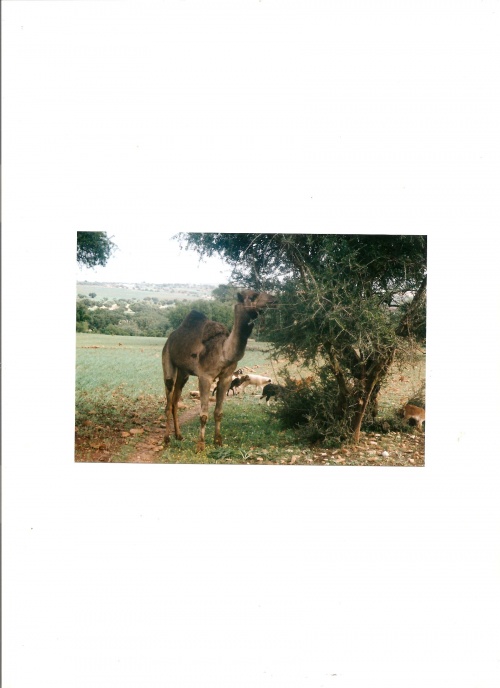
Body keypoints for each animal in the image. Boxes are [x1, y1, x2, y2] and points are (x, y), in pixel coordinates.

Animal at [161, 288, 276, 452]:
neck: (224, 353)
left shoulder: (226, 377)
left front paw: (218, 442)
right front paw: (200, 446)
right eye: (253, 296)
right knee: (169, 398)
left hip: (184, 372)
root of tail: (171, 337)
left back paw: (179, 436)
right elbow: (203, 415)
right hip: (167, 358)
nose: (274, 299)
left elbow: (218, 412)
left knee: (175, 400)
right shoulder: (205, 377)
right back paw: (166, 439)